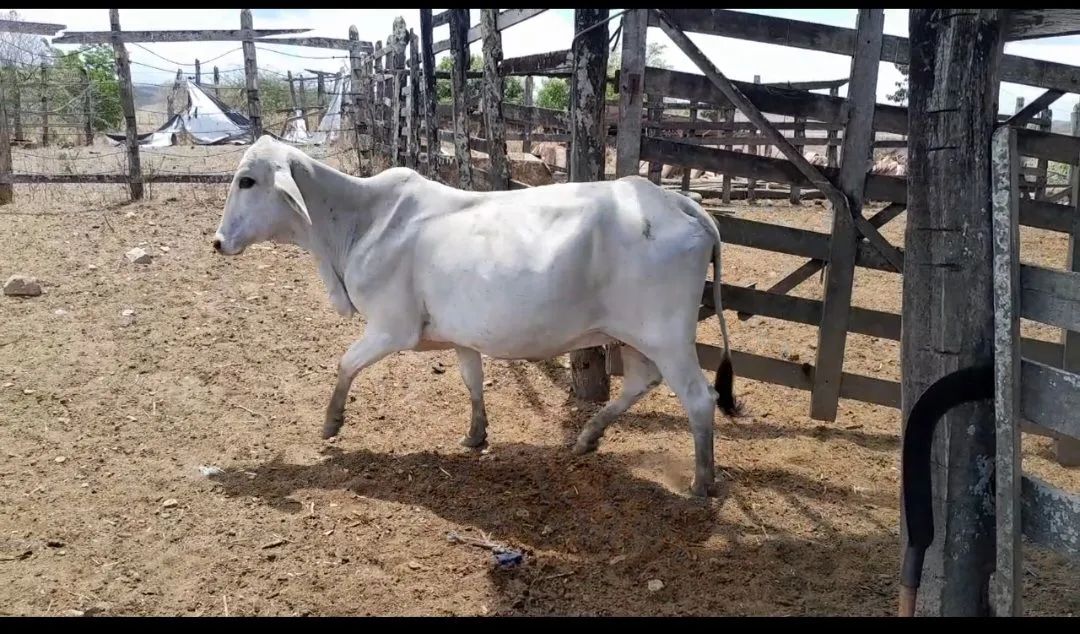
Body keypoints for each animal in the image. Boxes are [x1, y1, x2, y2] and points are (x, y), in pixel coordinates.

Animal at [211, 135, 740, 497]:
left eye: (247, 180)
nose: (217, 242)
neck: (360, 222)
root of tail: (677, 201)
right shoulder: (460, 335)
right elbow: (472, 380)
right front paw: (475, 434)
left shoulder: (391, 327)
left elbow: (345, 364)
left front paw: (331, 423)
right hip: (631, 334)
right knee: (640, 381)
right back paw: (588, 437)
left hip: (668, 335)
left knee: (699, 398)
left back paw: (701, 482)